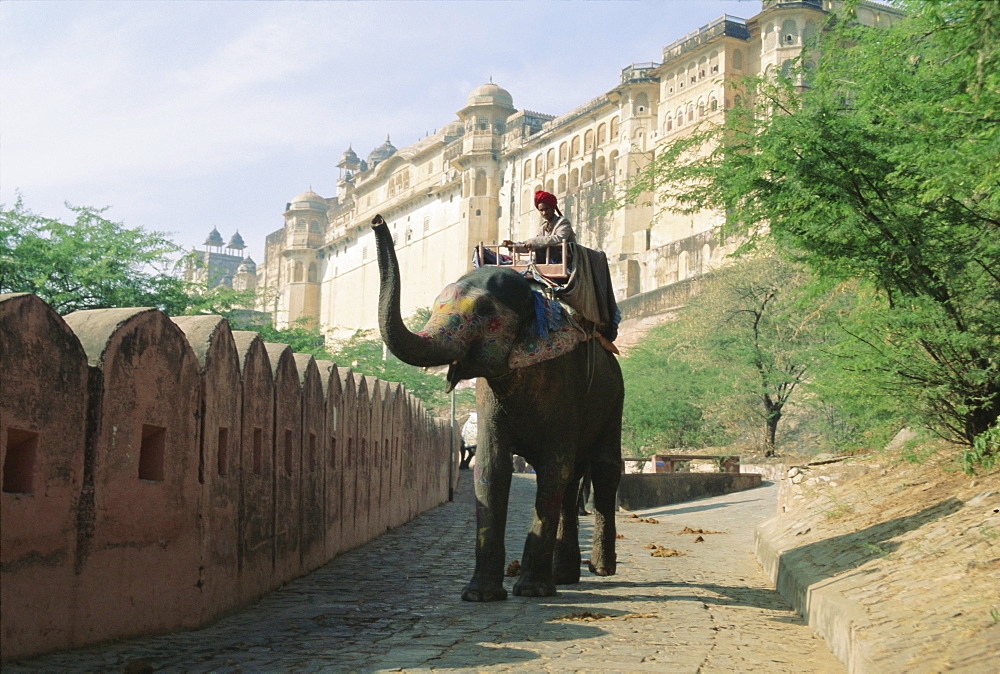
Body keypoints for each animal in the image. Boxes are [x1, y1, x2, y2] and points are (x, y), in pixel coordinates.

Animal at [372, 211, 620, 600]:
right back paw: (565, 577)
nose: (378, 219)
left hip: (615, 397)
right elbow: (492, 467)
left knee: (603, 468)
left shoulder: (564, 377)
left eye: (485, 312)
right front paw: (479, 595)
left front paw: (531, 590)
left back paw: (601, 569)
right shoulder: (488, 394)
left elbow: (553, 466)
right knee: (572, 479)